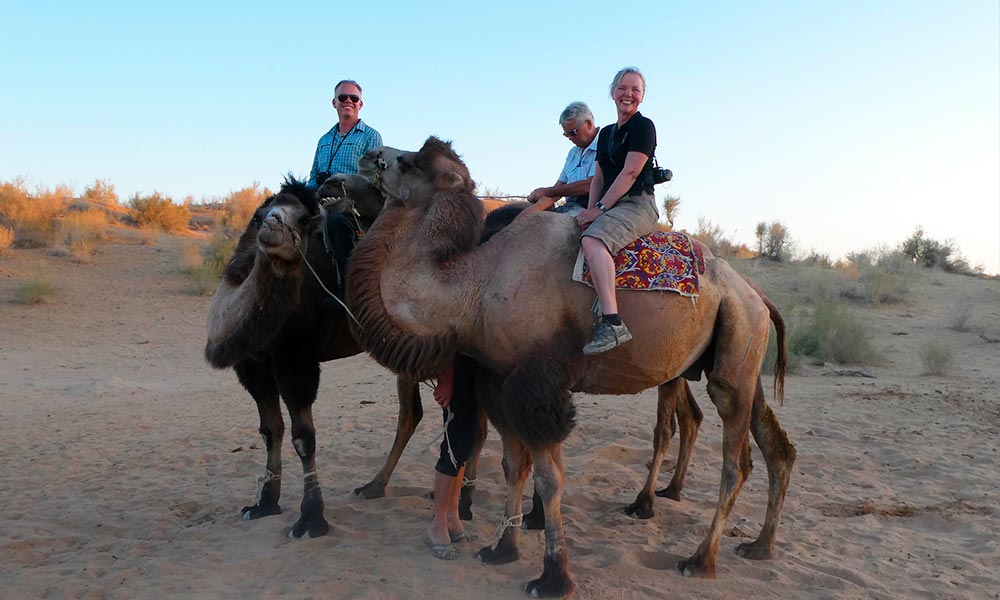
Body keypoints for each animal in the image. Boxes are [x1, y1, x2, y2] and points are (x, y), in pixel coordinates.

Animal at [344, 138, 796, 596]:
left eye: (409, 161)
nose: (367, 154)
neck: (475, 285)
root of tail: (755, 293)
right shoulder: (502, 380)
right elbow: (513, 467)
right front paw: (501, 549)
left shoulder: (540, 385)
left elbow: (550, 479)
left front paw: (553, 576)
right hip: (738, 354)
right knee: (774, 446)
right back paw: (760, 545)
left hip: (736, 351)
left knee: (733, 463)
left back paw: (700, 559)